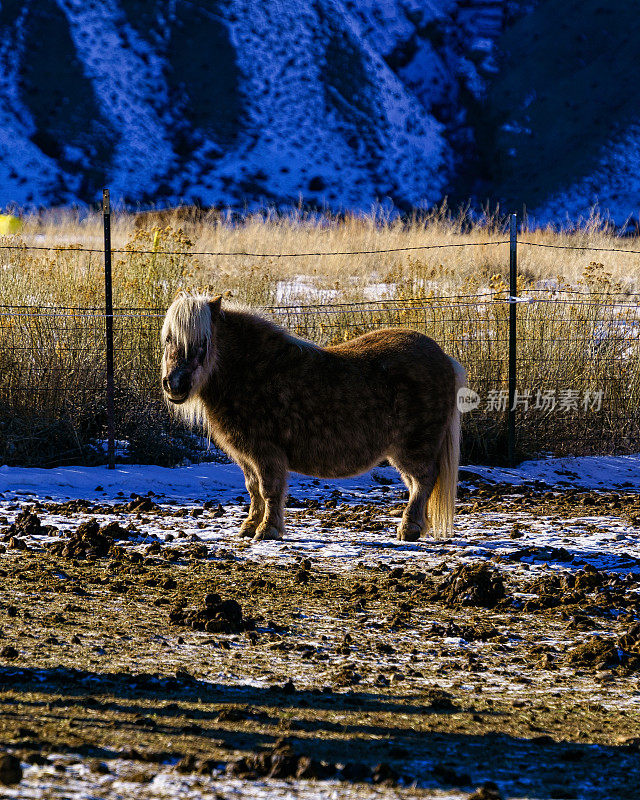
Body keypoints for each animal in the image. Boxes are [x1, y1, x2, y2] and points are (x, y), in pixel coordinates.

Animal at [162, 294, 468, 544]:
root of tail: (444, 358)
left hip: (414, 447)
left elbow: (269, 489)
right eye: (168, 340)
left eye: (203, 343)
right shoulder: (246, 456)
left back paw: (410, 529)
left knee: (423, 481)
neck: (253, 371)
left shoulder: (266, 453)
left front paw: (268, 530)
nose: (175, 384)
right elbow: (253, 490)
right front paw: (249, 527)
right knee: (417, 484)